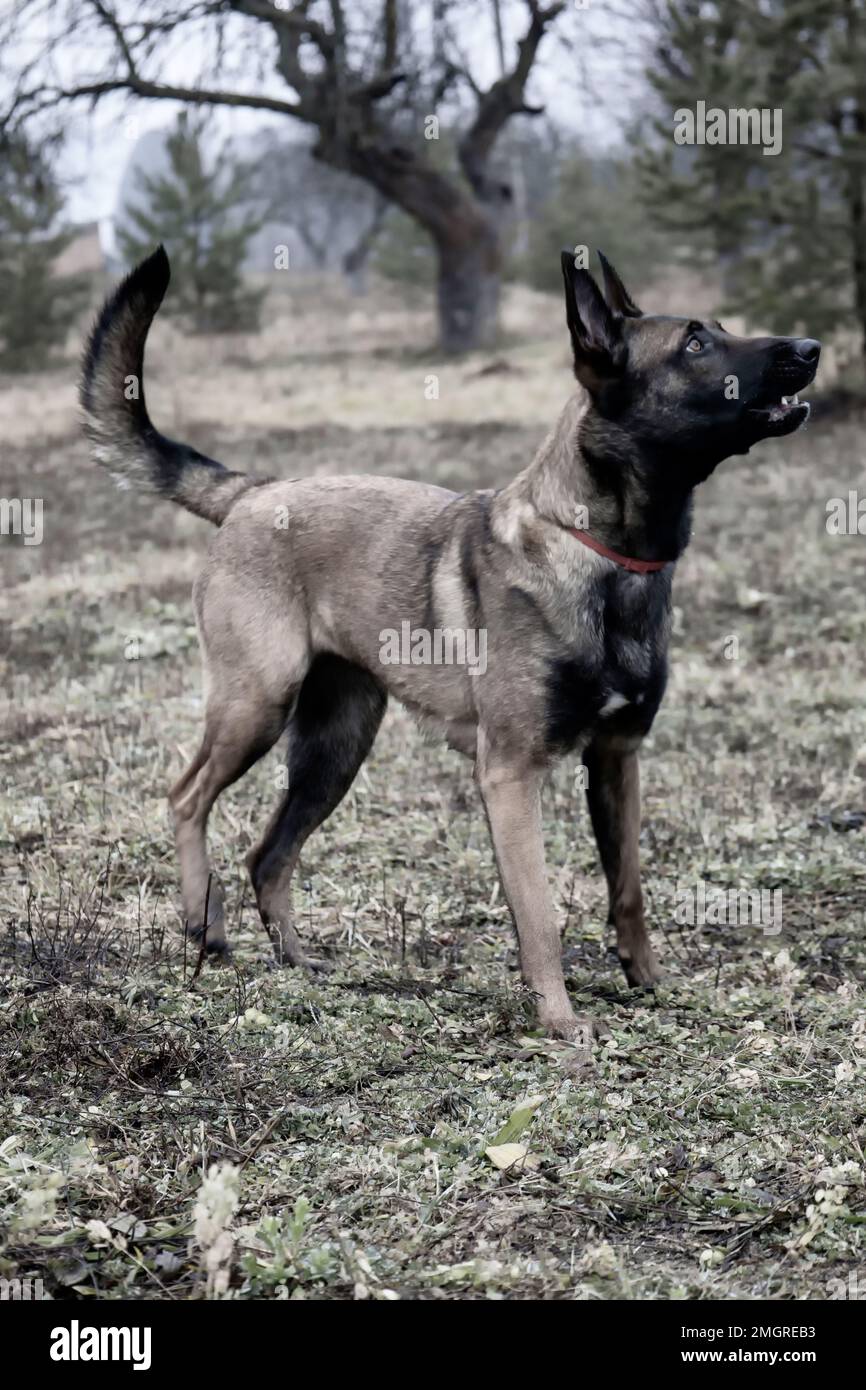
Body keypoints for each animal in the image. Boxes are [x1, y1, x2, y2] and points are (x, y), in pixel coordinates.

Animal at [79, 244, 817, 1039]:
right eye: (695, 344)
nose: (810, 348)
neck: (601, 552)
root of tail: (255, 492)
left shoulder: (618, 760)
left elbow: (629, 891)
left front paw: (648, 984)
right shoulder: (511, 775)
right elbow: (539, 914)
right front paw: (561, 1022)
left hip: (335, 748)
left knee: (269, 855)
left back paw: (297, 962)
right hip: (258, 706)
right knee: (188, 797)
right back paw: (202, 925)